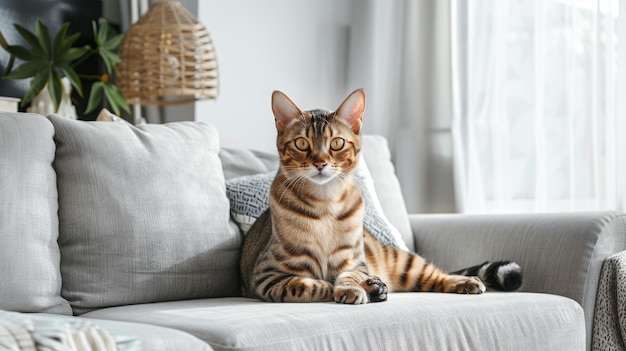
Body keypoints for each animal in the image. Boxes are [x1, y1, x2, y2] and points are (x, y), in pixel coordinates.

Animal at [236, 89, 520, 304]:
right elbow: (313, 284)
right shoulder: (268, 276)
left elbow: (346, 276)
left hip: (406, 262)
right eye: (302, 143)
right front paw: (360, 289)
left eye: (337, 143)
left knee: (436, 275)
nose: (320, 163)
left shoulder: (354, 261)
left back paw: (465, 281)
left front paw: (355, 287)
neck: (325, 204)